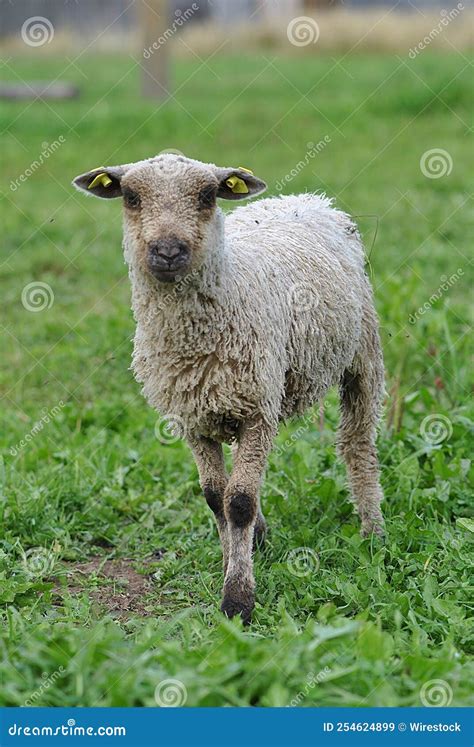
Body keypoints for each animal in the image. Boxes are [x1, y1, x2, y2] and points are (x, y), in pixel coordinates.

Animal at [74, 153, 386, 624]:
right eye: (130, 197)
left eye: (207, 195)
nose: (168, 251)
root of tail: (308, 198)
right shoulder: (190, 417)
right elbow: (214, 497)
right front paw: (230, 562)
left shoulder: (258, 410)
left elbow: (238, 502)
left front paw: (238, 599)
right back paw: (262, 536)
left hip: (361, 352)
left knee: (357, 445)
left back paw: (373, 531)